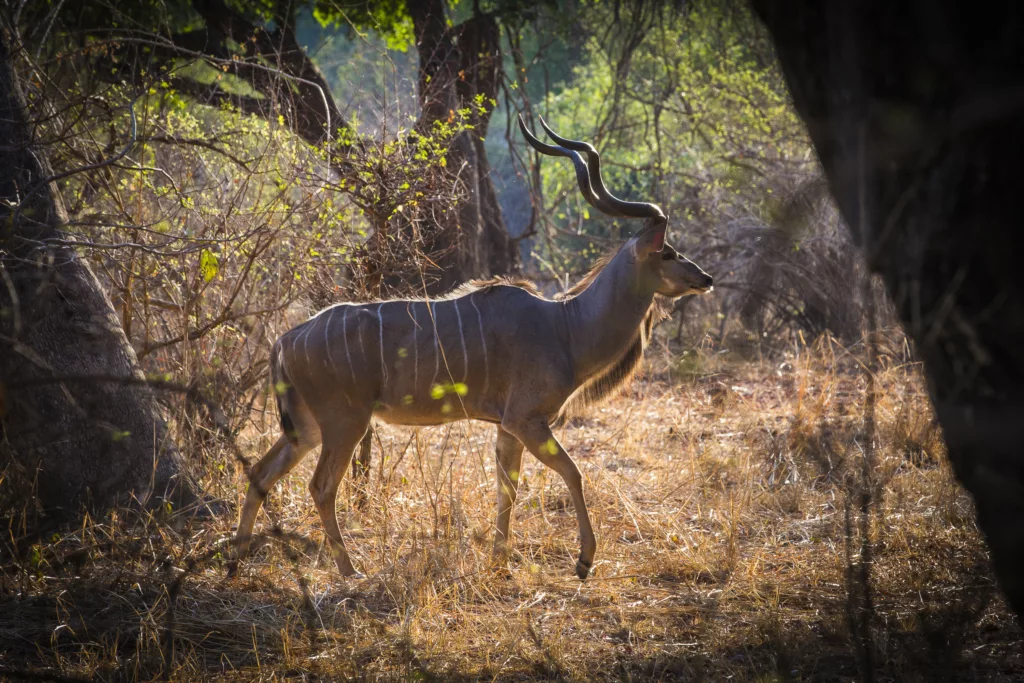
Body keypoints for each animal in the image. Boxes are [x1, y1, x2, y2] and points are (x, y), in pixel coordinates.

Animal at [232, 114, 712, 581]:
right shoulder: (527, 419)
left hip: (307, 428)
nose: (704, 278)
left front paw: (499, 562)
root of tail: (285, 341)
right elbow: (573, 473)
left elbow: (508, 489)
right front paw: (583, 560)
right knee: (321, 487)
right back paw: (351, 571)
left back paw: (236, 558)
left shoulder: (507, 427)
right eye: (668, 252)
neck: (566, 326)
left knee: (259, 472)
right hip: (344, 423)